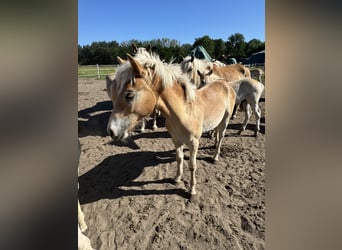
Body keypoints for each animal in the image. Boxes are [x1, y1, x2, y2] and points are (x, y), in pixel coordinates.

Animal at [106, 52, 235, 196]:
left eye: (129, 95)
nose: (111, 130)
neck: (185, 111)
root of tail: (225, 84)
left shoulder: (194, 143)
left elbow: (192, 165)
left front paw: (192, 190)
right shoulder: (176, 139)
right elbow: (179, 158)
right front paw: (177, 178)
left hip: (225, 120)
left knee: (221, 136)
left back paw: (215, 156)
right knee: (217, 133)